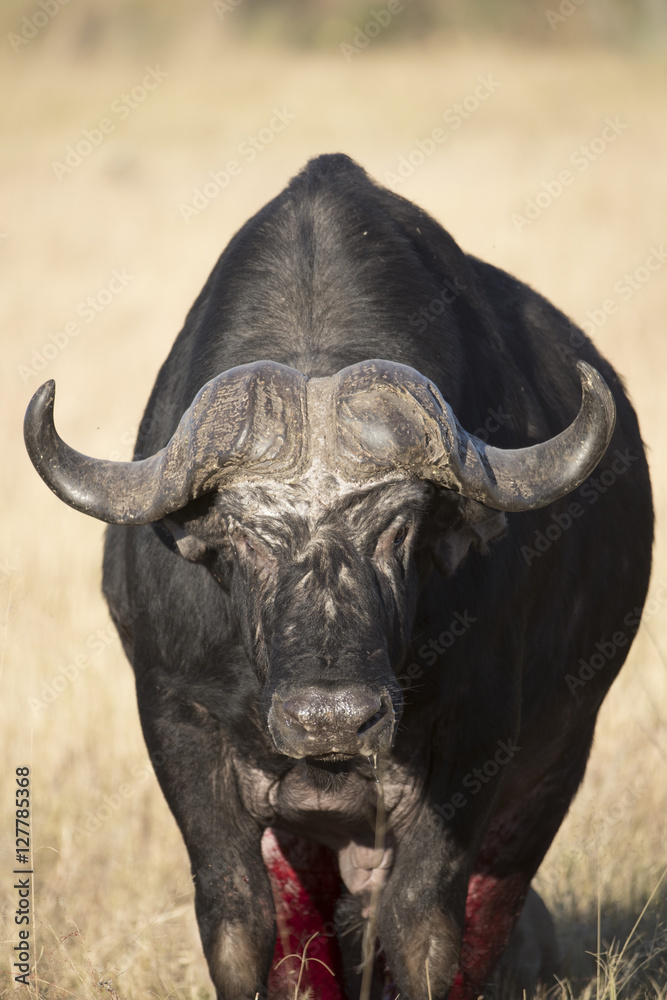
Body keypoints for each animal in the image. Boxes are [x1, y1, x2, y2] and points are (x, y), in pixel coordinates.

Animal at [25, 154, 653, 999]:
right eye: (244, 533)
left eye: (399, 524)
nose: (330, 719)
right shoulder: (175, 723)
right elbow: (237, 922)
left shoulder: (476, 736)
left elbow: (423, 926)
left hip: (555, 762)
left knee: (491, 903)